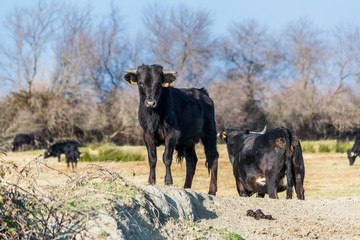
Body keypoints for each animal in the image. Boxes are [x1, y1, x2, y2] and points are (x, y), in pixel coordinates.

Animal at [124, 63, 219, 195]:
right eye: (140, 83)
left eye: (158, 83)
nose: (150, 102)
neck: (154, 115)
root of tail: (202, 92)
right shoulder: (147, 135)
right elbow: (152, 159)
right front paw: (151, 181)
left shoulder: (172, 134)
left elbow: (167, 158)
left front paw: (168, 181)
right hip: (189, 140)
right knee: (191, 161)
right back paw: (186, 187)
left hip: (209, 132)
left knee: (213, 156)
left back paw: (212, 191)